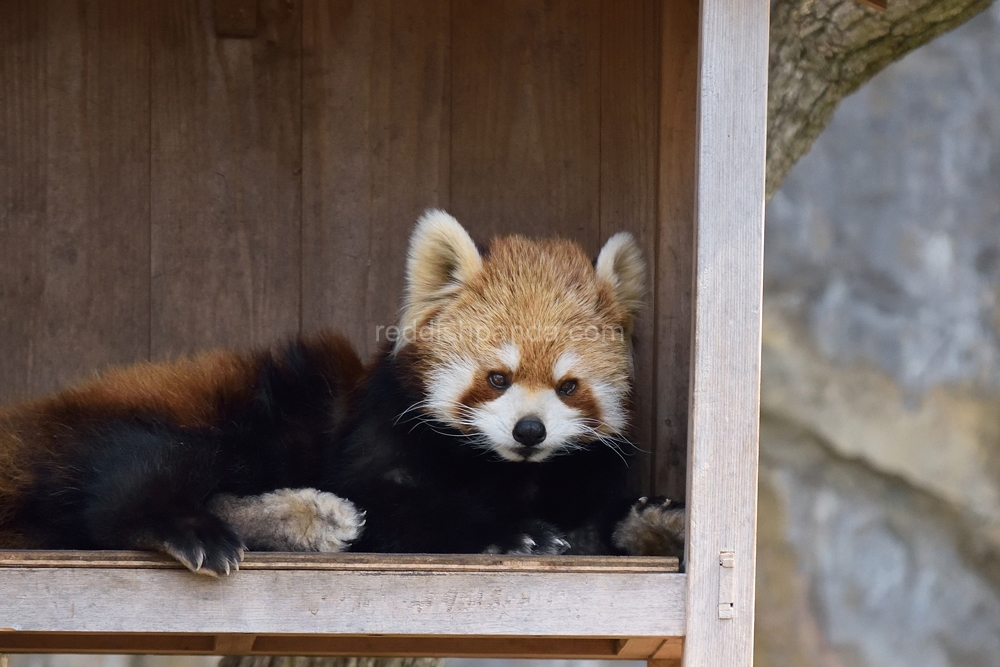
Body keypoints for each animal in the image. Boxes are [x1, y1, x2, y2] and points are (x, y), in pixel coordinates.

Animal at [0, 213, 684, 576]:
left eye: (568, 387)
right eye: (498, 378)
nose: (530, 431)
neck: (506, 471)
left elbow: (598, 516)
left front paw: (653, 520)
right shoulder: (369, 439)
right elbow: (396, 505)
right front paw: (517, 532)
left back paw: (306, 519)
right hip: (222, 407)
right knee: (130, 480)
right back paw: (191, 528)